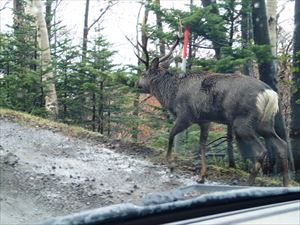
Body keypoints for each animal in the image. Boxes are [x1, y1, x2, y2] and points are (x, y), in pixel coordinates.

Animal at [135, 36, 288, 186]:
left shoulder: (185, 115)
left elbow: (171, 135)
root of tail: (270, 94)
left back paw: (248, 184)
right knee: (282, 146)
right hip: (265, 122)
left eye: (143, 74)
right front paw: (201, 176)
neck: (171, 94)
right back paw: (285, 184)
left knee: (261, 151)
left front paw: (171, 165)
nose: (136, 84)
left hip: (243, 121)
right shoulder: (205, 120)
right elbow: (202, 144)